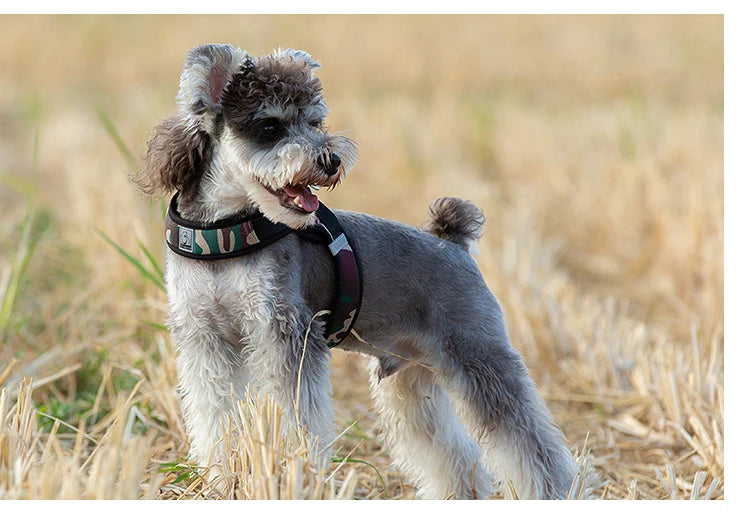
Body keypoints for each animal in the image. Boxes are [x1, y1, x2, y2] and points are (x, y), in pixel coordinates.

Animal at [138, 45, 580, 500]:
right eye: (269, 125)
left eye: (315, 121)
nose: (330, 160)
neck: (225, 230)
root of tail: (454, 244)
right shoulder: (204, 340)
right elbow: (214, 416)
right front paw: (219, 477)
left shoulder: (286, 334)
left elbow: (299, 422)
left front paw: (295, 475)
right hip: (411, 383)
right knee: (451, 452)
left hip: (482, 360)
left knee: (529, 443)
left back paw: (558, 491)